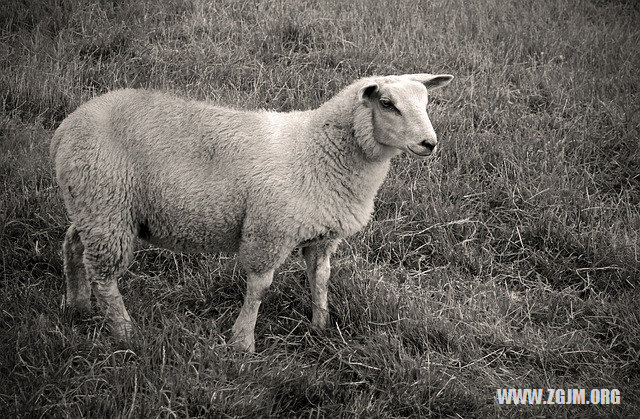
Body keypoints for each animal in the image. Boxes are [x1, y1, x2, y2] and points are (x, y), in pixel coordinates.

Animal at [52, 73, 456, 352]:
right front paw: (243, 342)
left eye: (426, 102)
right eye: (387, 103)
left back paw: (76, 305)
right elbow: (260, 287)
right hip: (107, 205)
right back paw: (124, 331)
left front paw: (320, 326)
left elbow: (321, 278)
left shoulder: (323, 235)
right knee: (104, 276)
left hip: (90, 204)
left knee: (72, 244)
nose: (429, 143)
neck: (316, 150)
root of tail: (68, 125)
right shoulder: (269, 229)